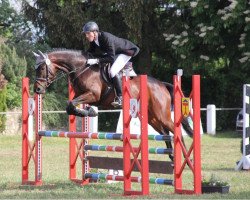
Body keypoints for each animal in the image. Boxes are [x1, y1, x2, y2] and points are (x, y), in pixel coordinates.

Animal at [33, 49, 192, 160]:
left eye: (42, 68)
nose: (37, 90)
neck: (81, 68)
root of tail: (162, 85)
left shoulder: (92, 95)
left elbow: (71, 104)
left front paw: (89, 112)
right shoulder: (84, 96)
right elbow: (70, 106)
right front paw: (89, 112)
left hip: (161, 114)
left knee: (175, 130)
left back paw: (185, 157)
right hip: (152, 117)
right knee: (165, 133)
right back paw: (172, 156)